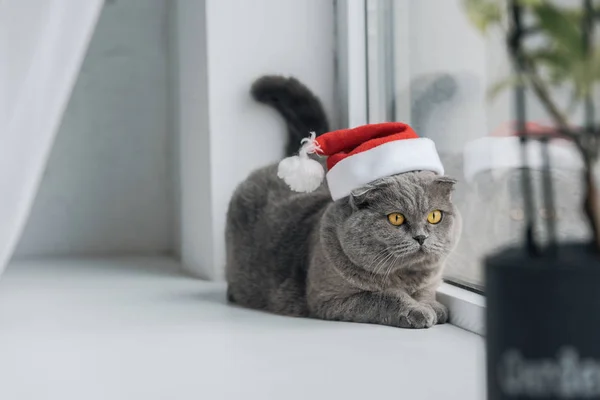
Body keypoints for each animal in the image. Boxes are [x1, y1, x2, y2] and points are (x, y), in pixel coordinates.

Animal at [227, 76, 462, 328]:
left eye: (434, 216)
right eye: (396, 218)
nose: (420, 237)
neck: (406, 277)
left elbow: (425, 294)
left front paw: (433, 307)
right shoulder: (332, 299)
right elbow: (385, 296)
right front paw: (417, 311)